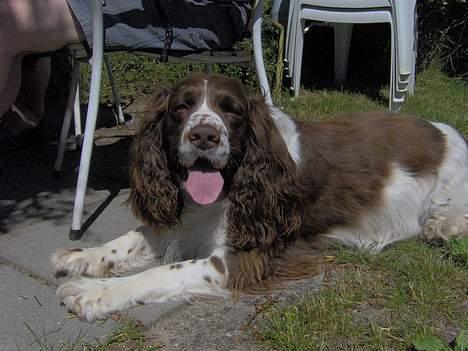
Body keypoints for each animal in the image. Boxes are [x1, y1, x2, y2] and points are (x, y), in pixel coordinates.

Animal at [52, 75, 468, 324]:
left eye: (231, 110)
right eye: (181, 107)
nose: (205, 136)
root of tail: (445, 131)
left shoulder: (245, 256)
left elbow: (162, 271)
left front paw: (96, 293)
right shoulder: (184, 219)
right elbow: (135, 236)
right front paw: (82, 257)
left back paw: (441, 228)